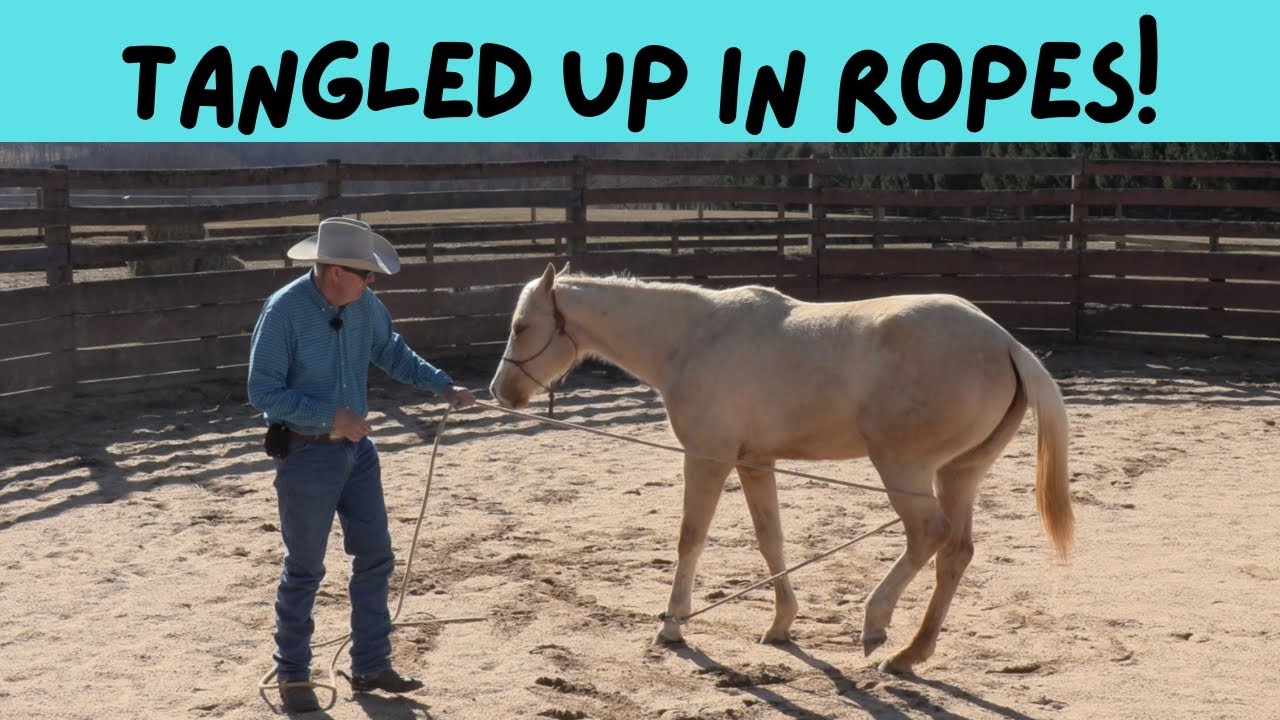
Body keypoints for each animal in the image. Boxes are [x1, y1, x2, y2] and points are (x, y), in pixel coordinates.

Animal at [488, 262, 1072, 675]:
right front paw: (781, 624)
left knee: (928, 535)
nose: (500, 392)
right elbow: (771, 540)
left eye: (521, 326)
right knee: (955, 553)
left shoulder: (707, 457)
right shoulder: (755, 462)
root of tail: (1005, 342)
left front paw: (673, 626)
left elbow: (690, 537)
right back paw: (909, 654)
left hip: (904, 469)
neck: (693, 337)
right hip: (958, 474)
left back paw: (876, 626)